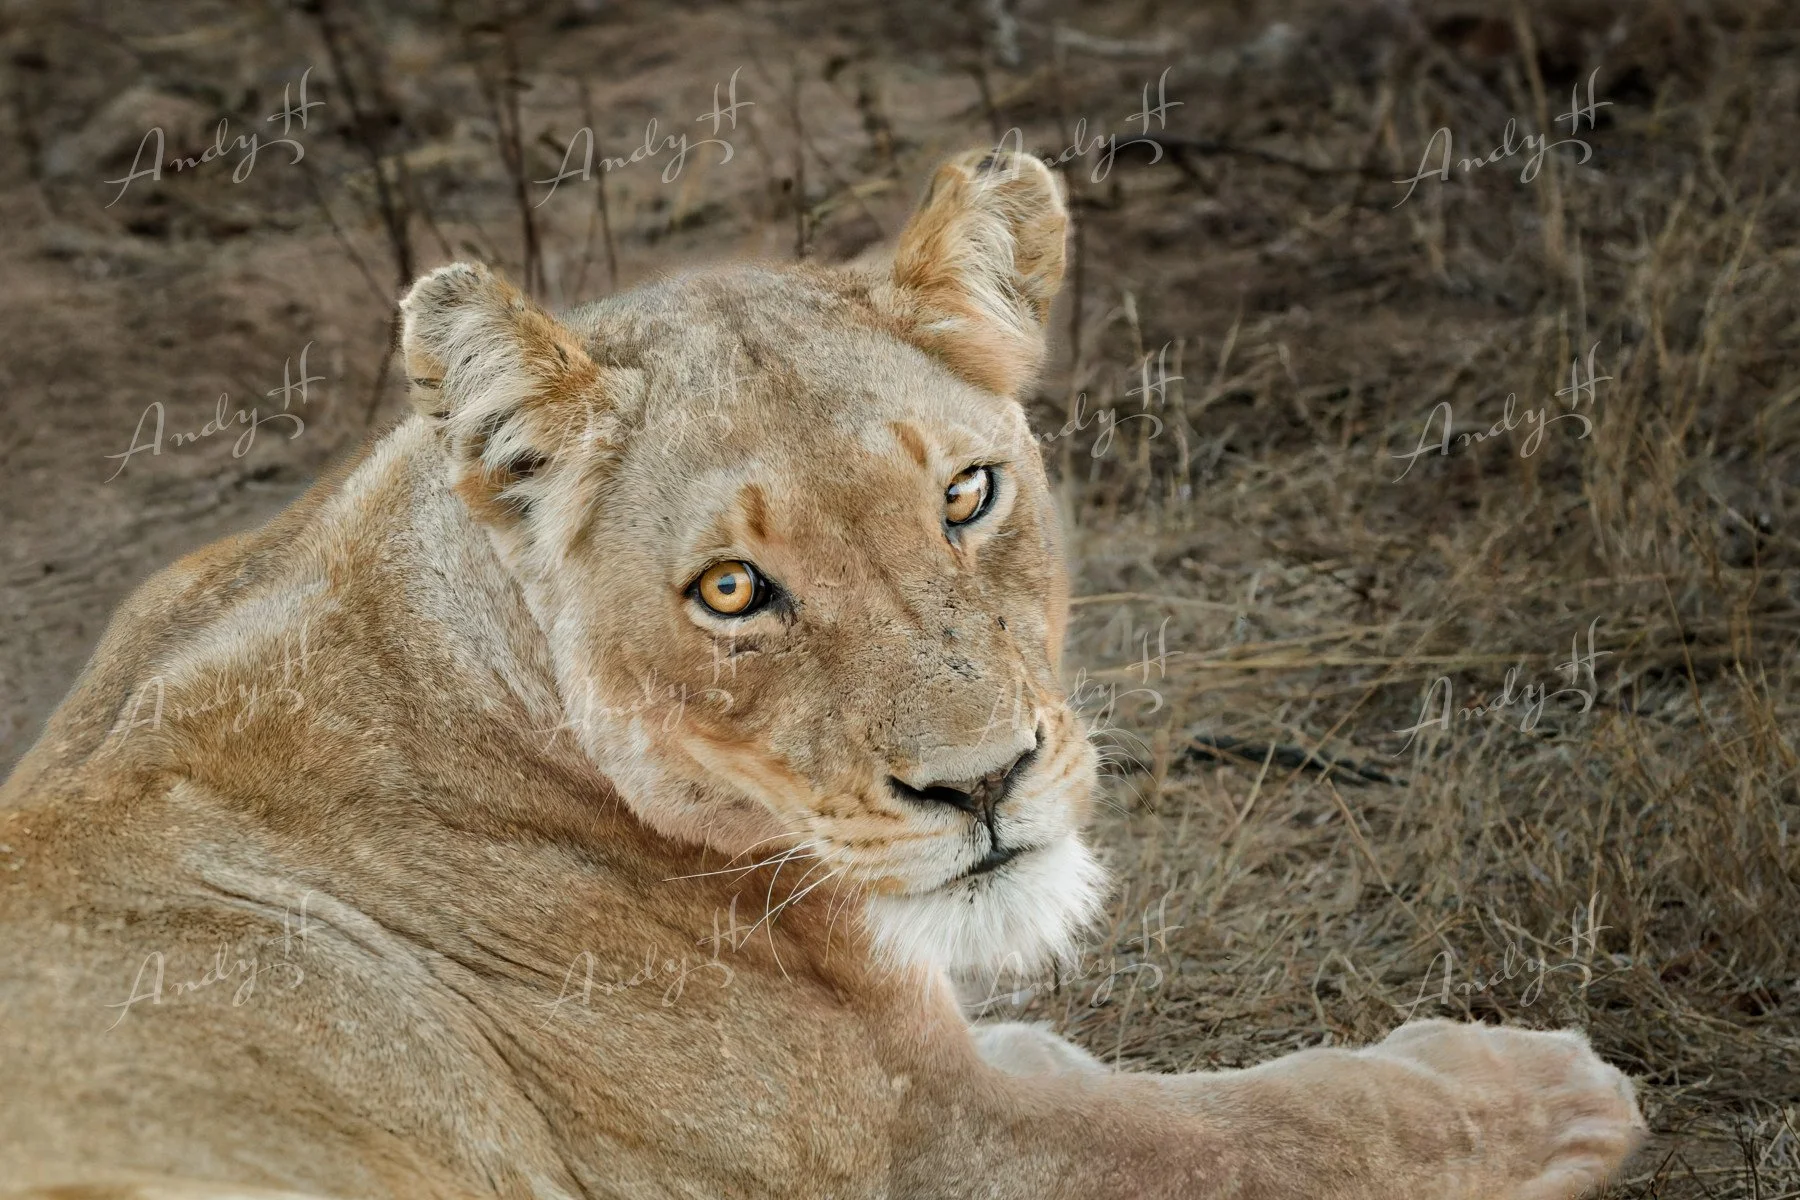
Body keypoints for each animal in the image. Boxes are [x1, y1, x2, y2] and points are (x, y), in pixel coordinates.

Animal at [0, 148, 1643, 1199]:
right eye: (732, 590)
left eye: (967, 495)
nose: (985, 786)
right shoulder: (924, 1155)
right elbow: (1266, 1131)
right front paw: (1544, 1093)